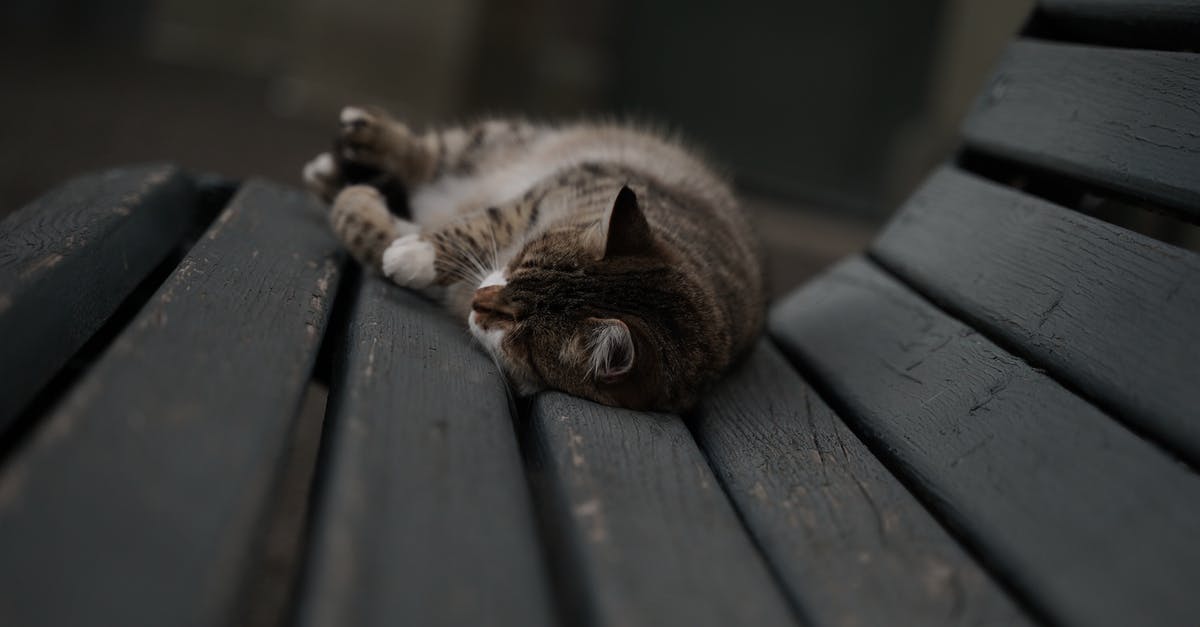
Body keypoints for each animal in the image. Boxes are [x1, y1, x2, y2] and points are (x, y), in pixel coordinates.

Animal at [304, 107, 763, 410]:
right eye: (519, 261)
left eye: (511, 327)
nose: (478, 301)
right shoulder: (546, 192)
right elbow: (480, 223)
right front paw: (415, 247)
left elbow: (372, 232)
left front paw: (393, 239)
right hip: (495, 142)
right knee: (428, 156)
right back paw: (351, 149)